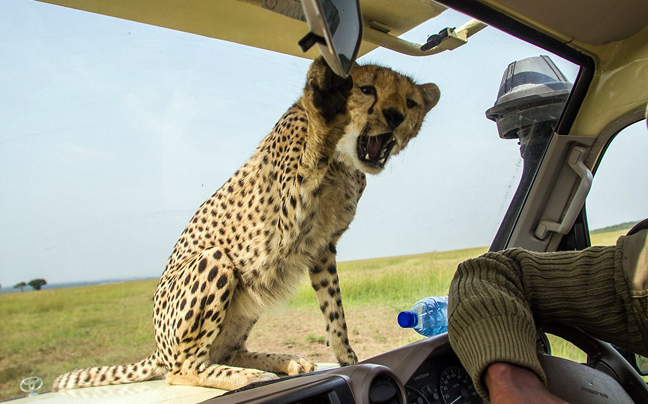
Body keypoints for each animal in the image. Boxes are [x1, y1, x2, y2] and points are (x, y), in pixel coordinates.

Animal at [53, 56, 440, 392]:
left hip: (250, 295)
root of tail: (158, 348)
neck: (344, 161)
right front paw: (323, 105)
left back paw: (283, 361)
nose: (394, 116)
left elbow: (334, 308)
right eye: (367, 89)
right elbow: (311, 155)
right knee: (182, 369)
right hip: (216, 262)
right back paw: (247, 377)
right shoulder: (281, 231)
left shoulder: (322, 246)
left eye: (410, 102)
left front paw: (349, 358)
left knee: (227, 350)